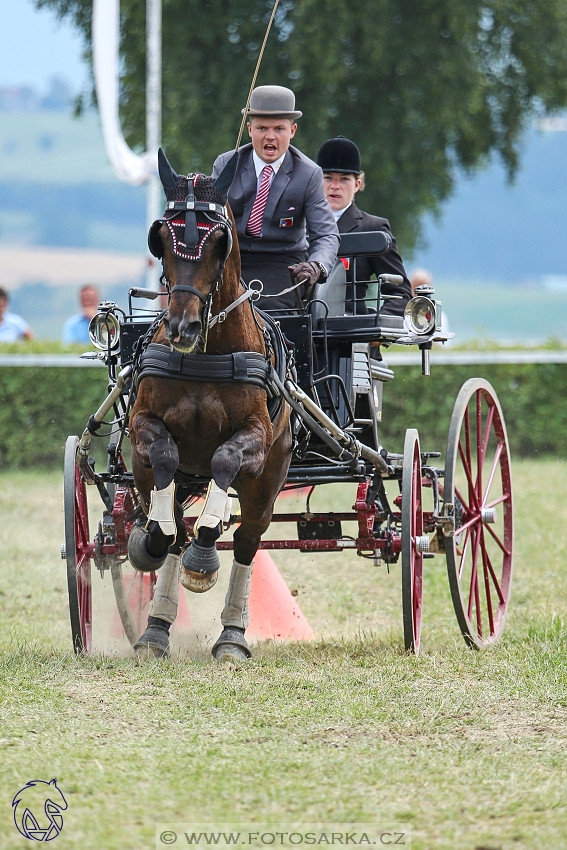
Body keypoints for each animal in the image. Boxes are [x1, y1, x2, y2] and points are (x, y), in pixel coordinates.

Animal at [128, 149, 292, 660]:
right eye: (160, 238)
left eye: (219, 241)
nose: (182, 327)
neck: (206, 354)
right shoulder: (142, 427)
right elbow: (163, 457)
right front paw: (154, 536)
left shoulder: (256, 438)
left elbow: (224, 458)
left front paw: (204, 550)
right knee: (173, 530)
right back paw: (155, 629)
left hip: (267, 483)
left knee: (246, 542)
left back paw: (232, 636)